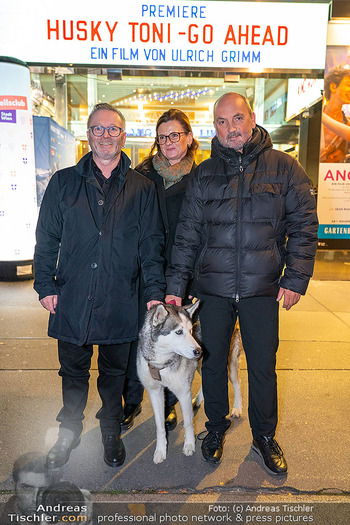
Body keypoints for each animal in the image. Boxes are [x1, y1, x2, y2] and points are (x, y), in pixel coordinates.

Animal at [137, 298, 201, 462]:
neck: (161, 364)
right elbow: (160, 426)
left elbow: (188, 423)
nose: (199, 351)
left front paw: (190, 444)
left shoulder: (184, 393)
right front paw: (160, 450)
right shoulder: (155, 392)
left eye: (191, 330)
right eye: (179, 331)